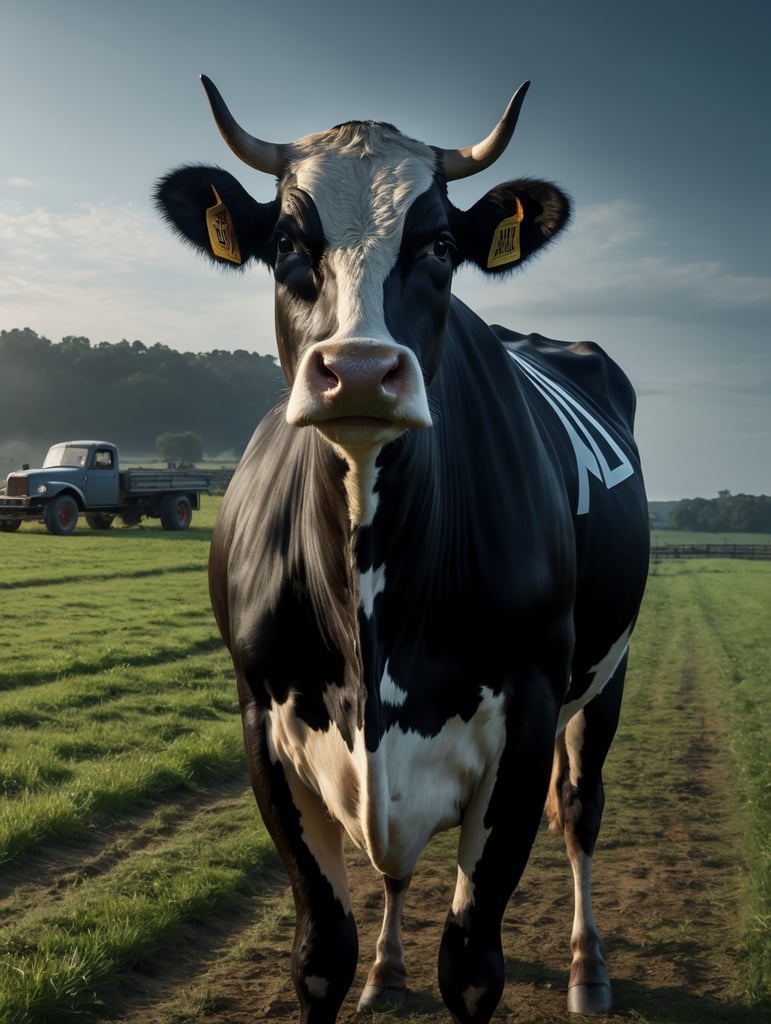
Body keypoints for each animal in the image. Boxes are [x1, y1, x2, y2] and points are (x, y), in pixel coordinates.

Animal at [155, 75, 650, 1024]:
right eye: (285, 242)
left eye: (443, 245)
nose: (355, 370)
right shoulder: (263, 719)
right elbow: (321, 954)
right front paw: (368, 967)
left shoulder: (529, 713)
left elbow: (472, 964)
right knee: (394, 868)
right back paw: (388, 970)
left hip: (605, 678)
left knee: (581, 810)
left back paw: (588, 967)